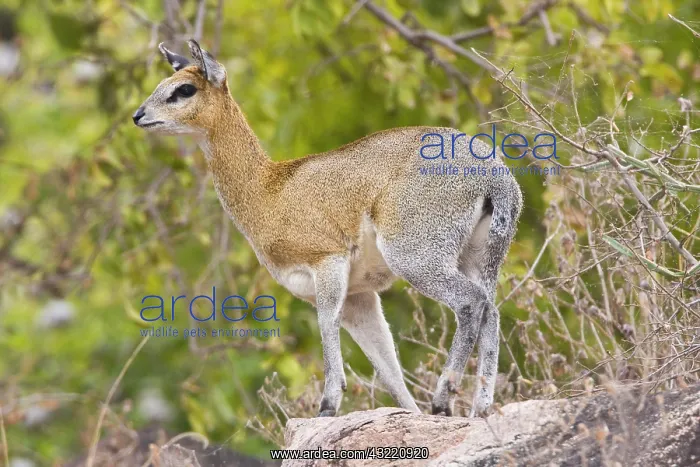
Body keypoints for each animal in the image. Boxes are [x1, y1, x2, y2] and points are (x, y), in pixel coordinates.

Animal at [133, 39, 523, 418]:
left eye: (184, 89)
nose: (138, 115)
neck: (270, 190)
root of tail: (494, 174)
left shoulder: (327, 263)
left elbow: (326, 326)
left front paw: (328, 405)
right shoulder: (359, 295)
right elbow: (385, 361)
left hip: (416, 258)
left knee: (472, 303)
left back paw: (443, 400)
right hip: (477, 260)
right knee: (491, 310)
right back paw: (480, 408)